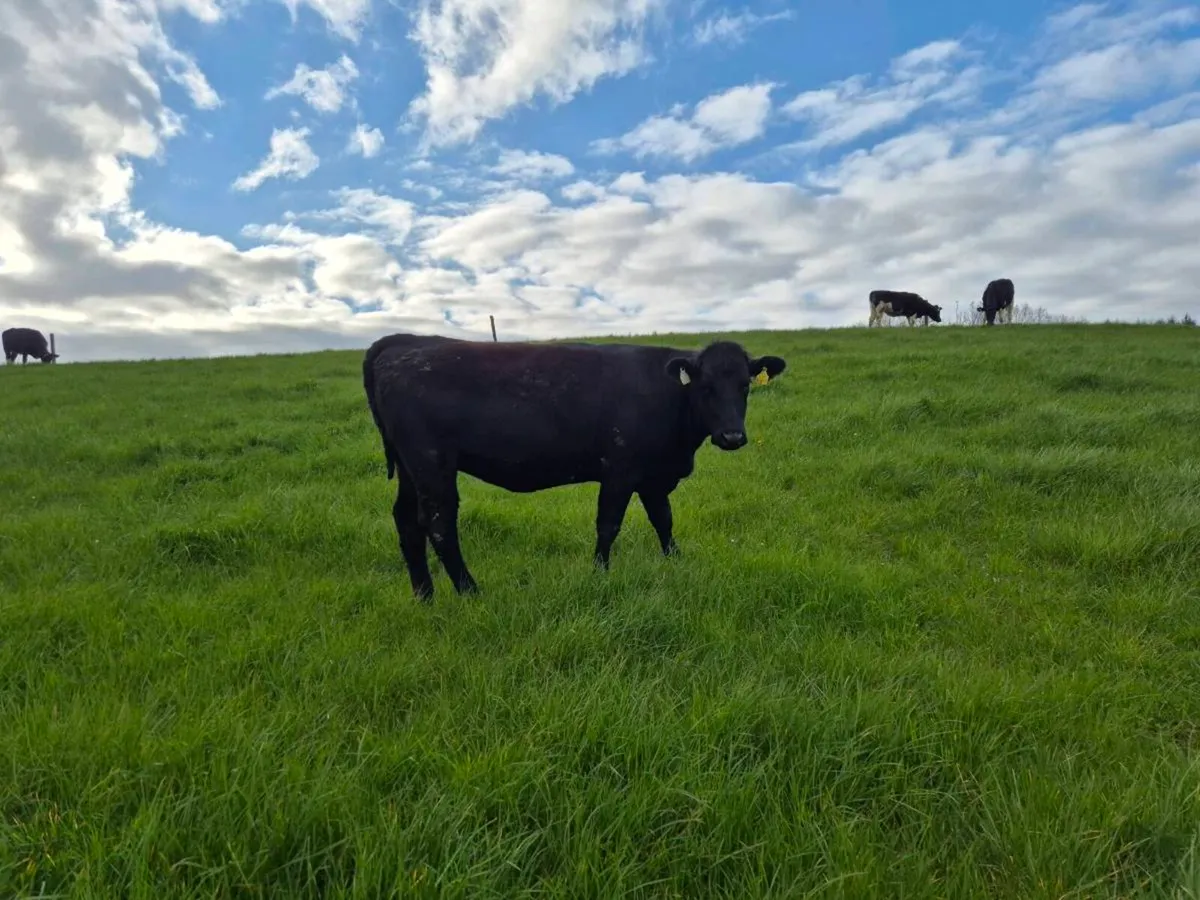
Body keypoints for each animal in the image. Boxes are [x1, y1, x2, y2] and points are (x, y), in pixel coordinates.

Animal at [363, 333, 787, 601]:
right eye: (706, 387)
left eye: (745, 386)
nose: (732, 436)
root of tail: (406, 341)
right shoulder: (620, 469)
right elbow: (608, 525)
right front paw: (600, 574)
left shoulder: (653, 477)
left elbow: (664, 521)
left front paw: (676, 563)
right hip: (432, 464)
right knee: (439, 526)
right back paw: (470, 593)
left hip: (410, 468)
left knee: (407, 522)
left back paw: (425, 595)